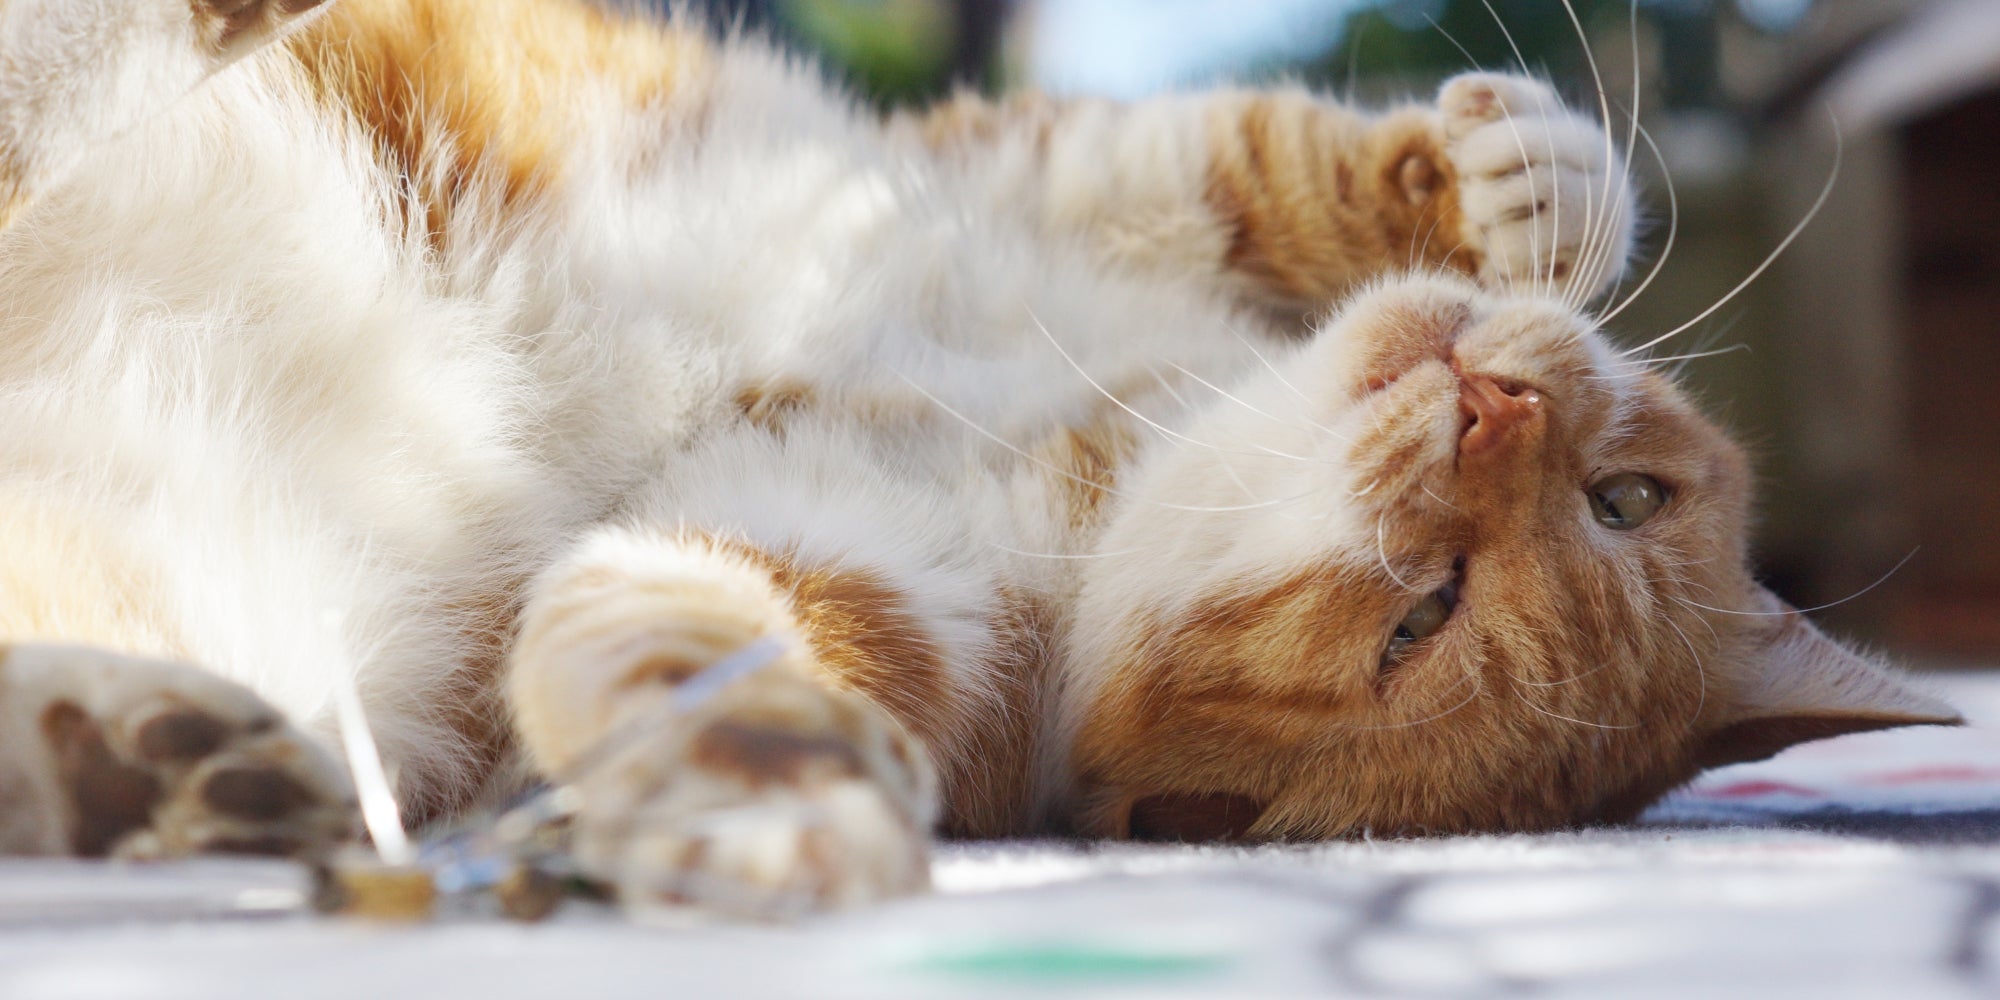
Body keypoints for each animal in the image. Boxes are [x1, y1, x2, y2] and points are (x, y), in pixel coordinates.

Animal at [0, 0, 1960, 916]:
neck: (1089, 428)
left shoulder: (826, 568)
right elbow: (1272, 160)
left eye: (1430, 620)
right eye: (1630, 499)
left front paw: (768, 804)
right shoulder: (985, 174)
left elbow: (688, 645)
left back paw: (158, 762)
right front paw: (1520, 182)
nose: (1499, 407)